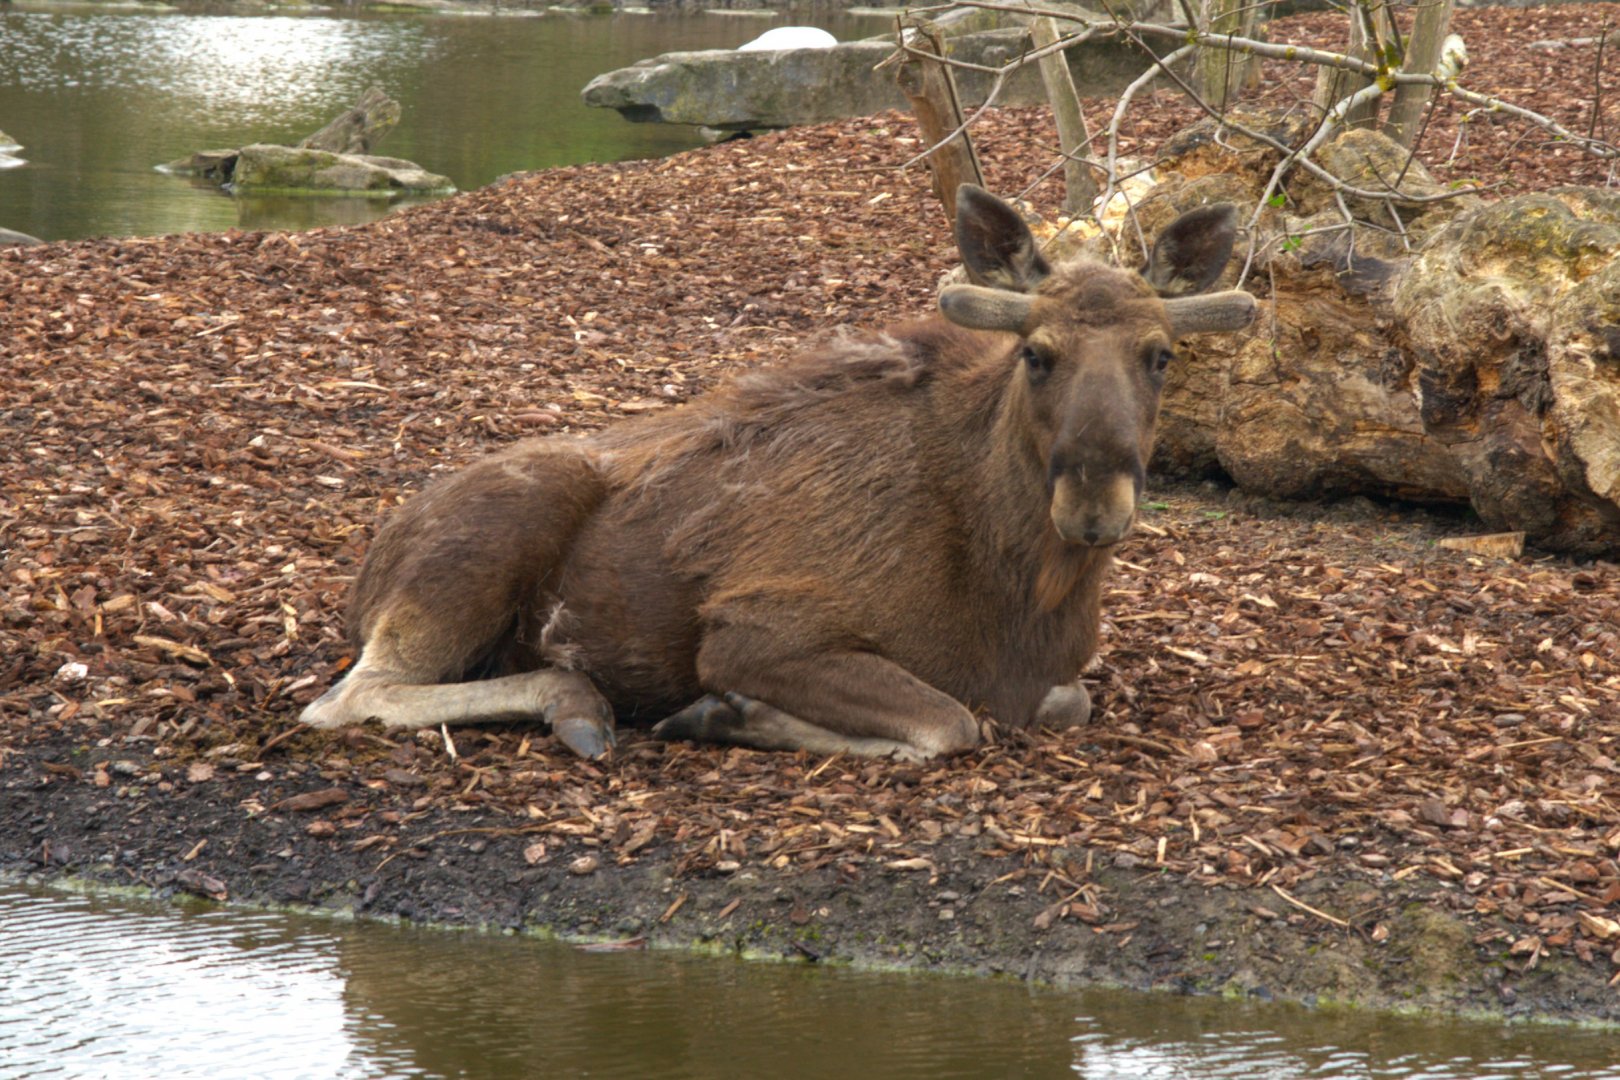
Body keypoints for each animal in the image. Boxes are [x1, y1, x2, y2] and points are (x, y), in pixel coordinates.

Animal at [300, 185, 1256, 761]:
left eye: (1161, 355)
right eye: (1036, 353)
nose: (1095, 503)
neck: (1024, 588)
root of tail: (366, 572)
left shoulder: (1054, 682)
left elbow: (1062, 704)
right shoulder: (756, 630)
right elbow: (949, 721)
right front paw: (722, 712)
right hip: (486, 545)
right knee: (346, 699)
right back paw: (579, 703)